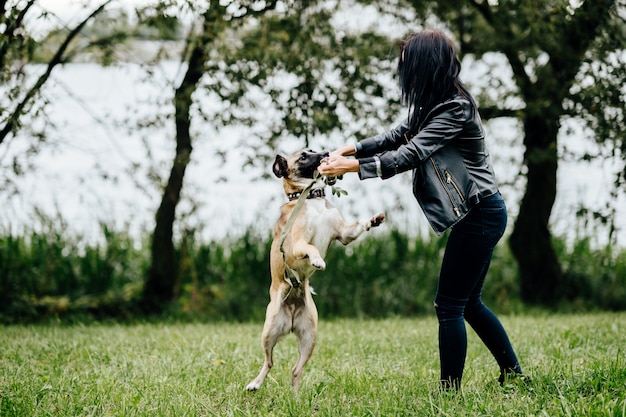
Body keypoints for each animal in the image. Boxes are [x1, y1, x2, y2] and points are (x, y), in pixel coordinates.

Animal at [245, 149, 382, 390]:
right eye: (302, 157)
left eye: (311, 150)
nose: (326, 152)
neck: (311, 197)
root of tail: (291, 315)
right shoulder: (297, 245)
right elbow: (311, 248)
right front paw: (317, 260)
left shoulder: (344, 233)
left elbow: (357, 226)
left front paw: (373, 220)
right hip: (268, 331)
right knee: (269, 362)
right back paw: (255, 383)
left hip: (310, 338)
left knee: (295, 370)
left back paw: (296, 396)